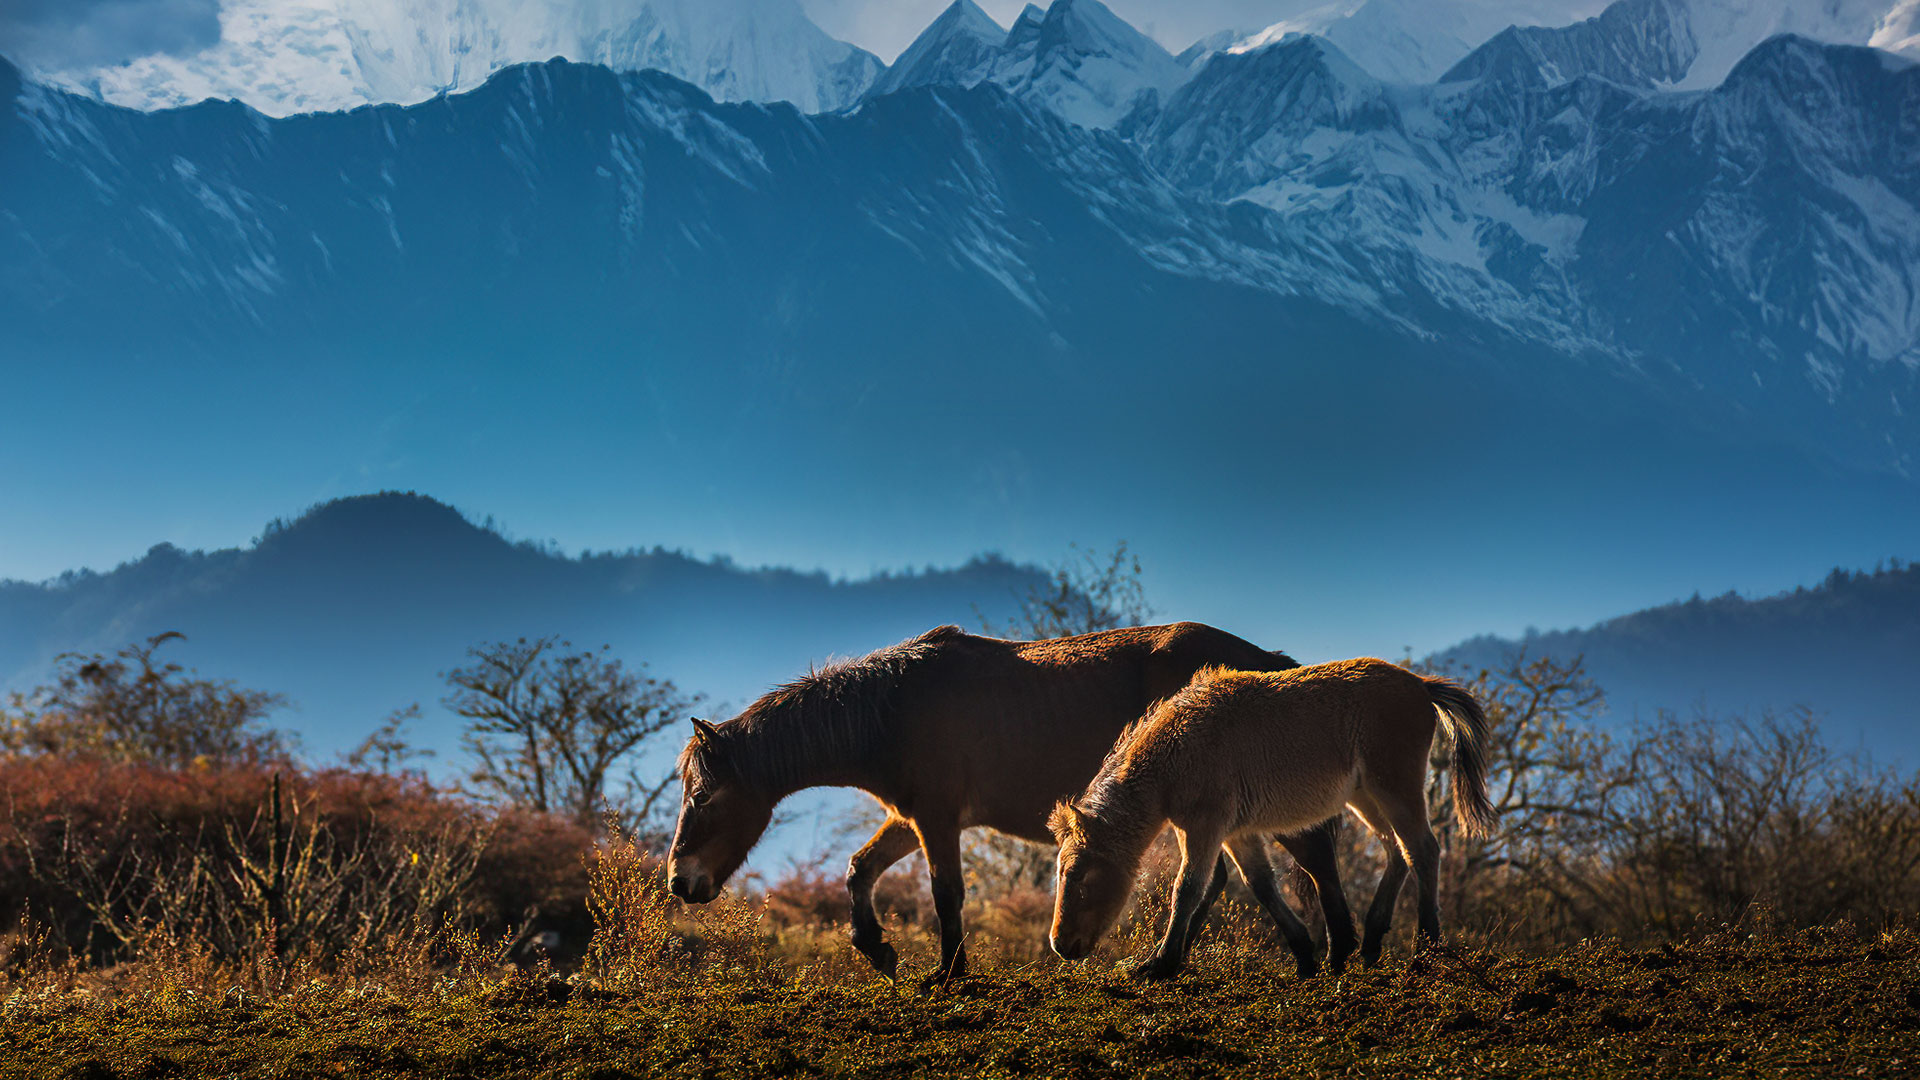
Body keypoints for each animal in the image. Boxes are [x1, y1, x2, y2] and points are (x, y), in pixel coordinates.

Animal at [675, 618, 1367, 980]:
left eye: (703, 797)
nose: (680, 882)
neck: (893, 710)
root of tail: (1266, 659)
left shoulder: (936, 819)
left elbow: (946, 892)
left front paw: (949, 973)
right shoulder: (911, 816)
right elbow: (859, 869)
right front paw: (879, 949)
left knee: (1309, 860)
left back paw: (1333, 954)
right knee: (1239, 875)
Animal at [1052, 657, 1497, 976]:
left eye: (1080, 876)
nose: (1060, 945)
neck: (1176, 748)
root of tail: (1421, 685)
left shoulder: (1204, 826)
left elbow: (1188, 887)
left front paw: (1159, 963)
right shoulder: (1235, 832)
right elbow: (1261, 884)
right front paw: (1304, 955)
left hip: (1395, 788)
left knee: (1423, 849)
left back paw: (1427, 946)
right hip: (1366, 797)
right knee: (1396, 851)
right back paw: (1366, 944)